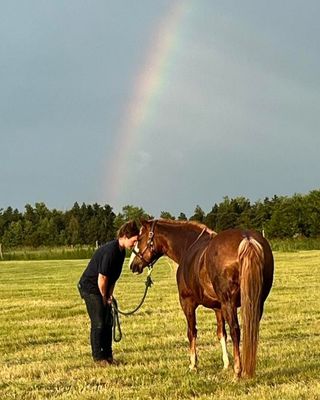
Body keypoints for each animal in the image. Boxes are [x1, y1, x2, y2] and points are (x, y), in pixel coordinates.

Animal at [129, 219, 274, 378]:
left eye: (139, 239)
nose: (132, 265)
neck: (188, 245)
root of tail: (247, 239)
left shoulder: (187, 303)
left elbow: (192, 332)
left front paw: (193, 364)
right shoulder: (219, 308)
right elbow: (221, 333)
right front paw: (225, 364)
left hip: (229, 303)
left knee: (235, 330)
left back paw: (238, 371)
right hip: (256, 303)